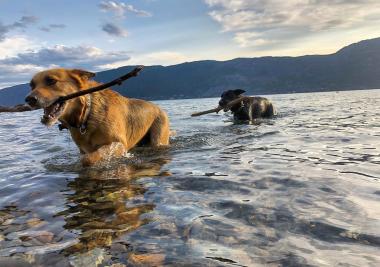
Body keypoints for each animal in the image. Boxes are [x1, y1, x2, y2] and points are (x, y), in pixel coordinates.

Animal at [25, 68, 169, 165]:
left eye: (51, 81)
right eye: (32, 85)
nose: (29, 99)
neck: (86, 116)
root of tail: (158, 107)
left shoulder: (119, 144)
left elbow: (88, 159)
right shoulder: (83, 149)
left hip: (158, 138)